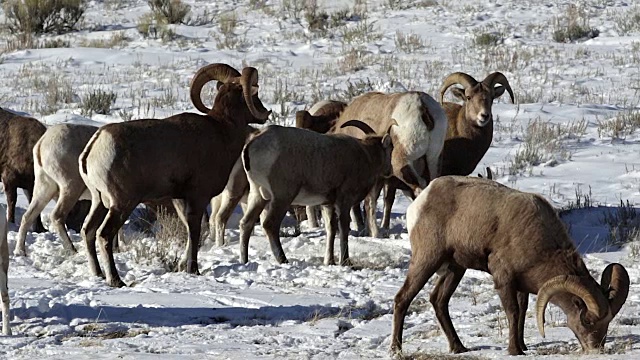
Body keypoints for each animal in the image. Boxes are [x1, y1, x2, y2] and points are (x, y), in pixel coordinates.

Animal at [79, 62, 270, 286]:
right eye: (255, 92)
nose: (265, 112)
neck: (222, 131)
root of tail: (96, 144)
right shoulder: (197, 196)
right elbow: (195, 231)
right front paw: (193, 270)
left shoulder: (179, 198)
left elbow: (189, 230)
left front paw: (181, 267)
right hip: (121, 203)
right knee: (104, 235)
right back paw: (116, 281)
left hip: (98, 201)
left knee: (88, 231)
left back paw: (98, 274)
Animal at [240, 122, 396, 266]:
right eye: (390, 149)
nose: (389, 171)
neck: (365, 156)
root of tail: (252, 144)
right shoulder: (344, 202)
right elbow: (343, 229)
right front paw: (345, 262)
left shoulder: (327, 205)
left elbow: (331, 229)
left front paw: (329, 261)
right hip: (282, 198)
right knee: (270, 225)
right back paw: (283, 260)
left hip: (258, 196)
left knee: (246, 224)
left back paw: (244, 261)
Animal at [390, 176, 632, 356]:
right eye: (588, 322)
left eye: (607, 324)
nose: (596, 349)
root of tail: (420, 201)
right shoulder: (504, 280)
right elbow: (513, 312)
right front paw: (515, 350)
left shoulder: (521, 285)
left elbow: (523, 311)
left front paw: (523, 345)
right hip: (427, 260)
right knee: (403, 298)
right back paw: (396, 350)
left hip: (455, 269)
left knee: (438, 300)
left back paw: (458, 348)